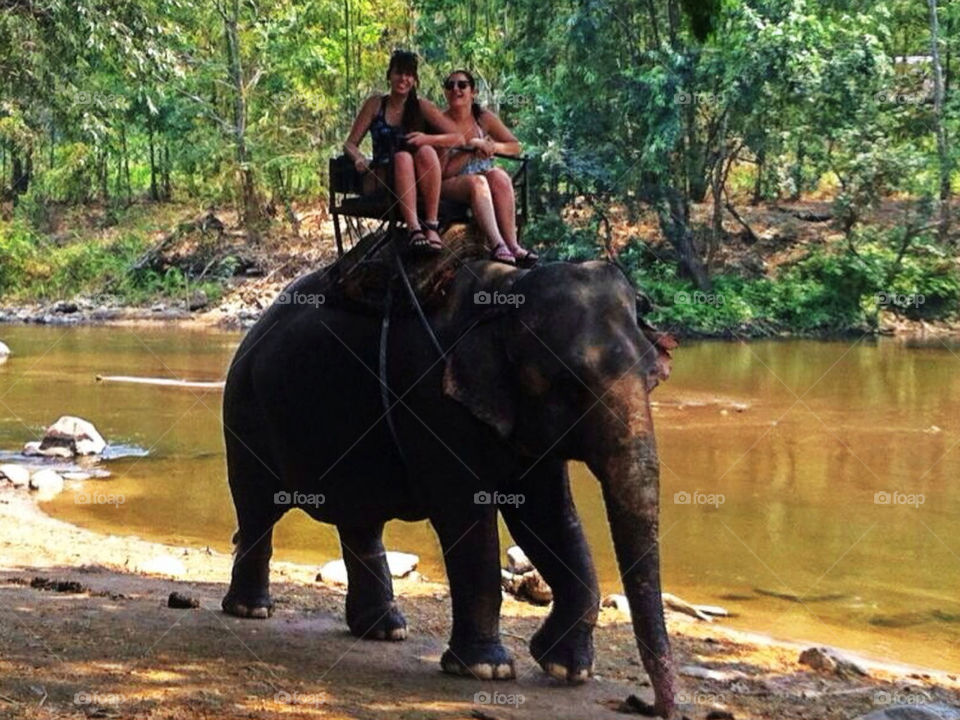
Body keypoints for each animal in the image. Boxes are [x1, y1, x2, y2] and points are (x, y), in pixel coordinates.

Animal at [221, 239, 680, 716]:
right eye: (569, 383)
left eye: (654, 379)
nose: (643, 704)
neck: (508, 291)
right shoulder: (430, 394)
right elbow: (467, 516)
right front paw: (486, 670)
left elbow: (548, 517)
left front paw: (565, 670)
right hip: (244, 408)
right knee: (257, 509)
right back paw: (251, 611)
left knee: (360, 522)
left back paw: (384, 631)